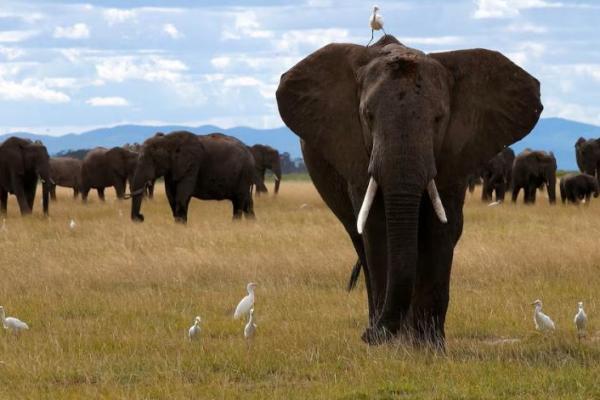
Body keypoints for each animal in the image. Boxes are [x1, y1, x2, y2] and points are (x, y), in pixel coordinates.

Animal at [276, 35, 544, 346]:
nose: (367, 335)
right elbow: (377, 228)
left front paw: (429, 346)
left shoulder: (456, 154)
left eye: (439, 119)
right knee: (359, 239)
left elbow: (441, 228)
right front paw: (391, 346)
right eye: (367, 116)